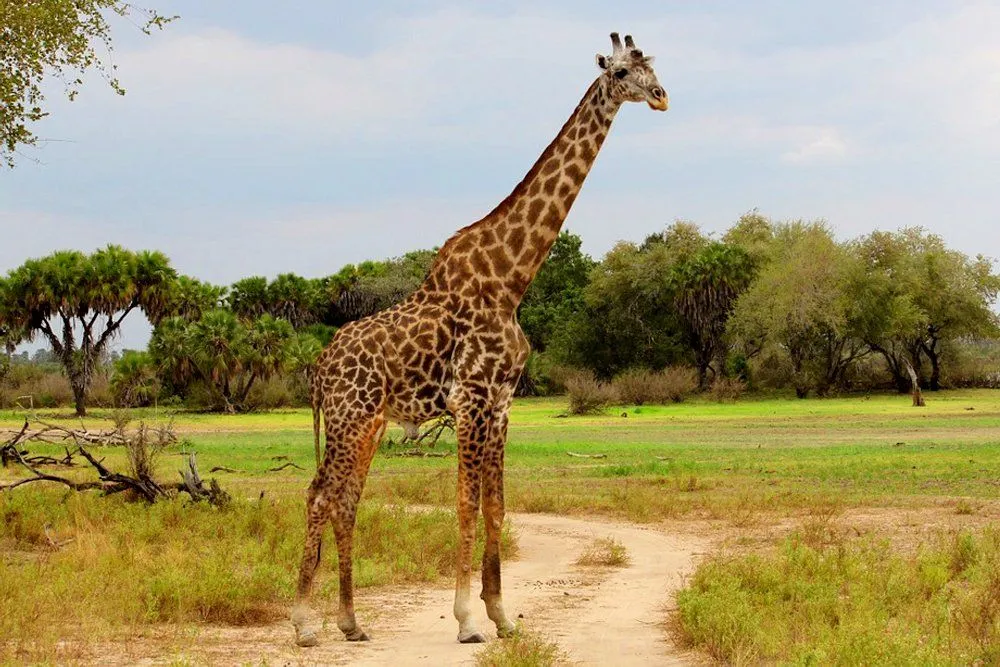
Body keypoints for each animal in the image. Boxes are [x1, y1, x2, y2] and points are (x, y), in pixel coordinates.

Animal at [291, 32, 668, 647]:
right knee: (320, 495)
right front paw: (467, 620)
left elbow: (496, 506)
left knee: (344, 500)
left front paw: (502, 615)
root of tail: (320, 366)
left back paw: (350, 622)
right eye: (618, 72)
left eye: (652, 65)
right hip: (349, 417)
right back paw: (303, 625)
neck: (511, 279)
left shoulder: (502, 401)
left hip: (368, 424)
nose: (660, 96)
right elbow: (466, 504)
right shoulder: (469, 398)